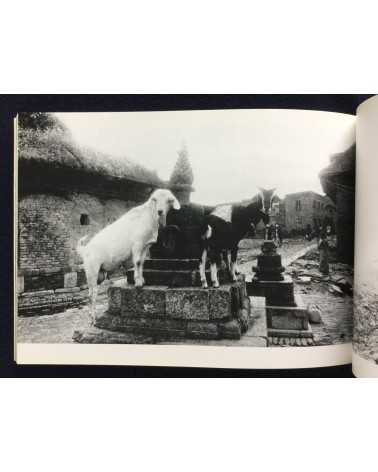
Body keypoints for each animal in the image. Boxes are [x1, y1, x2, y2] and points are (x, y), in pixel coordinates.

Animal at [77, 188, 180, 324]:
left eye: (169, 200)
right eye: (155, 199)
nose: (160, 211)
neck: (149, 218)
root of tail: (84, 249)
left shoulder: (145, 247)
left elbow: (142, 263)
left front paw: (142, 280)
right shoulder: (137, 244)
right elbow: (137, 262)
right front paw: (138, 283)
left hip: (100, 274)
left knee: (93, 292)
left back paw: (92, 315)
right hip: (91, 270)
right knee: (91, 294)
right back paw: (93, 318)